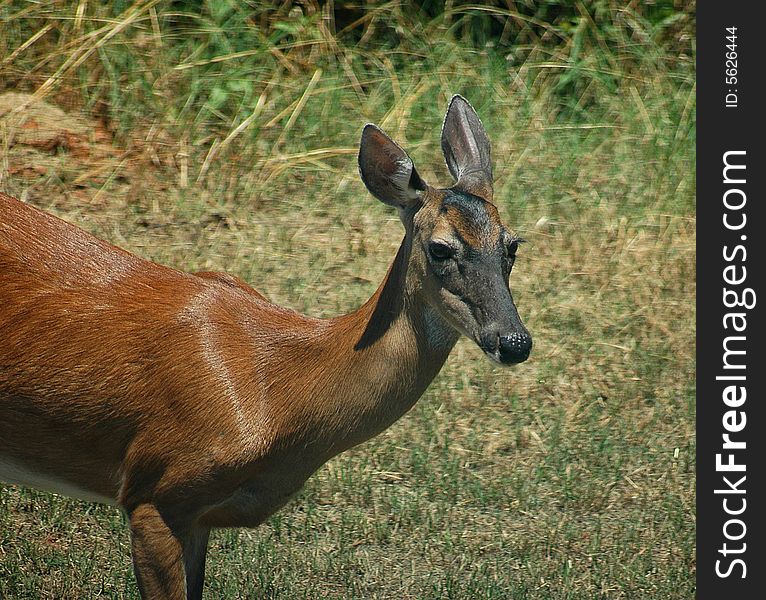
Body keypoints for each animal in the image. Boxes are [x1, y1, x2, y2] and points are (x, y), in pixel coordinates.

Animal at [0, 96, 532, 596]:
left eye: (512, 244)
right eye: (440, 248)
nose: (514, 341)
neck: (275, 393)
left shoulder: (197, 517)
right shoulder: (155, 490)